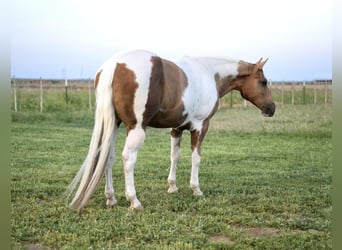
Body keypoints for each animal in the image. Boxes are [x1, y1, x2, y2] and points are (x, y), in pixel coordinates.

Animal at [67, 48, 276, 209]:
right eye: (263, 82)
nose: (271, 108)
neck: (209, 73)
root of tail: (115, 64)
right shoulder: (201, 126)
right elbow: (196, 158)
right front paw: (196, 188)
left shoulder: (176, 128)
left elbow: (174, 156)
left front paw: (172, 187)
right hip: (136, 129)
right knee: (128, 159)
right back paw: (134, 201)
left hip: (114, 125)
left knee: (107, 158)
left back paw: (111, 198)